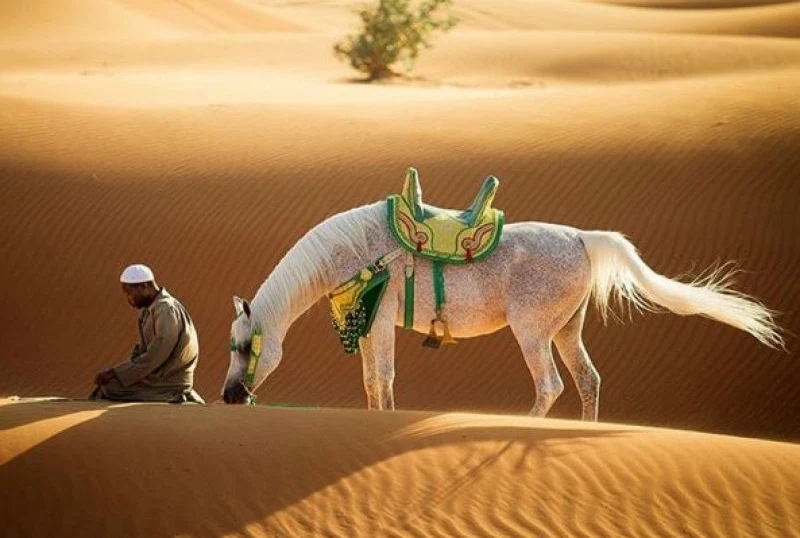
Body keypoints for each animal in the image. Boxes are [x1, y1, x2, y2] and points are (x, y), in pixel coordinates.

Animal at [222, 199, 784, 416]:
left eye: (244, 345)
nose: (229, 395)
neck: (351, 250)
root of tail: (583, 238)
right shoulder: (367, 325)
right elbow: (371, 381)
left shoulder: (378, 322)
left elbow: (381, 378)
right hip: (567, 330)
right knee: (588, 381)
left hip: (533, 332)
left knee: (551, 385)